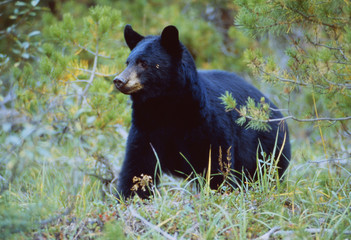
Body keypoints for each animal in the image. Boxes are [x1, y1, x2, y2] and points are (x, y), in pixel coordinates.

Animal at [113, 25, 292, 200]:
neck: (166, 108)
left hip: (268, 148)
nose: (119, 80)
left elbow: (216, 163)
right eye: (128, 62)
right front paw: (131, 196)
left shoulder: (208, 127)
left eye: (143, 63)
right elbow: (139, 164)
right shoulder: (146, 128)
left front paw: (217, 192)